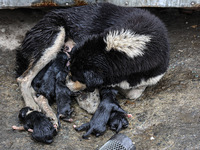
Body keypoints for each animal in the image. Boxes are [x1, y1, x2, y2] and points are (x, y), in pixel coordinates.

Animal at [15, 2, 169, 139]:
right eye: (71, 71)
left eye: (76, 75)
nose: (62, 82)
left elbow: (133, 92)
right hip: (55, 36)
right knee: (24, 79)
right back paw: (38, 110)